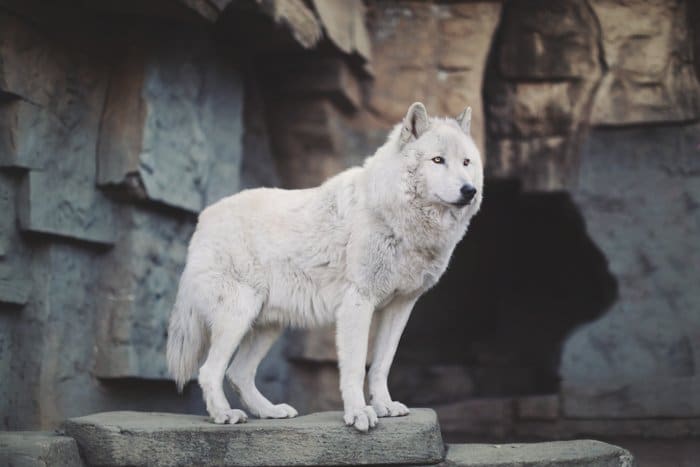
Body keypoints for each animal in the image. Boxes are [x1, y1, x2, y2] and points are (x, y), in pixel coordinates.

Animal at [167, 101, 484, 432]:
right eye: (438, 160)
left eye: (466, 162)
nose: (469, 190)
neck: (397, 219)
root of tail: (204, 218)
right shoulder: (358, 302)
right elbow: (356, 368)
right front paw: (358, 413)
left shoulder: (400, 307)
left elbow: (381, 365)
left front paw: (384, 406)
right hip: (238, 316)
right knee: (209, 371)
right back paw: (224, 415)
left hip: (267, 326)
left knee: (237, 374)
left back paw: (271, 411)